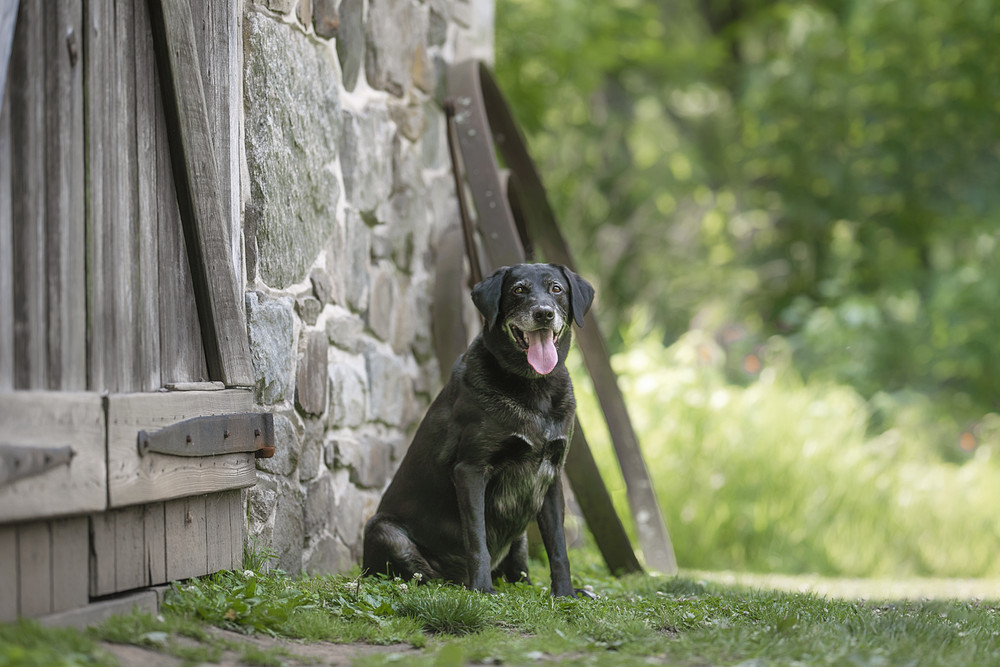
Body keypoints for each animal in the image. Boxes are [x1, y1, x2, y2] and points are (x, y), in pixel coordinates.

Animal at [362, 263, 594, 596]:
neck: (533, 387)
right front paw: (483, 590)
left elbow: (558, 547)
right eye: (519, 290)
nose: (544, 313)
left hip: (520, 536)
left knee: (518, 571)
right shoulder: (471, 470)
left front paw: (565, 593)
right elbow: (478, 540)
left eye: (556, 289)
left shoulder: (551, 477)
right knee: (421, 574)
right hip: (383, 529)